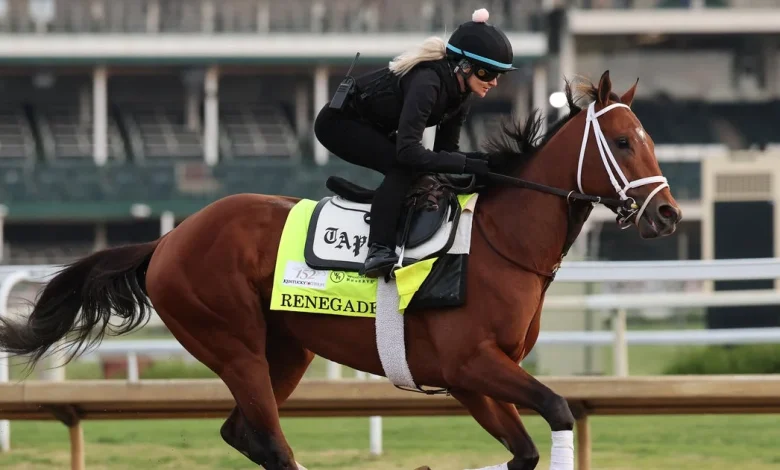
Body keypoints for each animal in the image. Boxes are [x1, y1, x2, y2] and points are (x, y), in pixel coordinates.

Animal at [0, 71, 680, 470]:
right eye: (624, 143)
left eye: (650, 140)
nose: (668, 214)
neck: (498, 242)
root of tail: (169, 239)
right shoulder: (473, 365)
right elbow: (561, 411)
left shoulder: (469, 380)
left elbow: (524, 453)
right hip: (234, 344)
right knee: (268, 438)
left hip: (285, 352)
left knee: (244, 434)